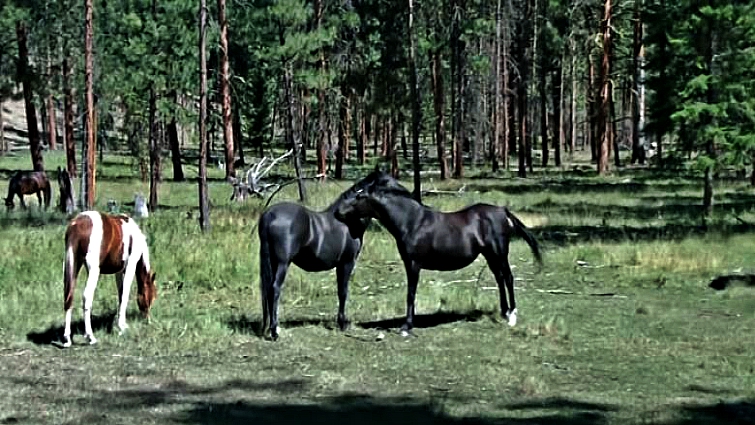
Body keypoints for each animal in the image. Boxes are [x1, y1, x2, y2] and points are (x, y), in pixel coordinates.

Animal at [62, 211, 157, 347]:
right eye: (150, 297)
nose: (147, 319)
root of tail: (76, 224)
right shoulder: (130, 265)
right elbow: (125, 295)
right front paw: (122, 327)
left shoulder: (119, 271)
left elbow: (121, 294)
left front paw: (122, 324)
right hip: (93, 270)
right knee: (87, 297)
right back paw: (91, 337)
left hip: (72, 265)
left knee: (68, 296)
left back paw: (67, 339)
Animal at [258, 168, 401, 340]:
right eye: (387, 182)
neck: (349, 221)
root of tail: (269, 214)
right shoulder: (346, 263)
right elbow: (343, 292)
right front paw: (342, 323)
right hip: (282, 263)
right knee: (275, 289)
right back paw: (274, 331)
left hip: (272, 262)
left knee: (267, 290)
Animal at [334, 183, 543, 334]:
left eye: (359, 197)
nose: (337, 212)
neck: (412, 222)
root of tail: (502, 211)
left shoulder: (414, 264)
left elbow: (411, 294)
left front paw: (406, 327)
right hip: (490, 255)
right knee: (499, 279)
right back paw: (504, 312)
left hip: (499, 253)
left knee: (508, 278)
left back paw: (512, 317)